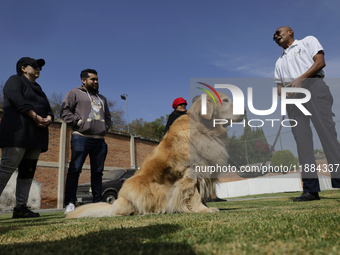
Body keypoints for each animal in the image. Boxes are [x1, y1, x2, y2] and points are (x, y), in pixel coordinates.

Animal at [65, 92, 242, 218]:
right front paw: (202, 210)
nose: (245, 111)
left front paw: (203, 207)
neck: (205, 128)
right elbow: (194, 194)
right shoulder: (190, 172)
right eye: (225, 100)